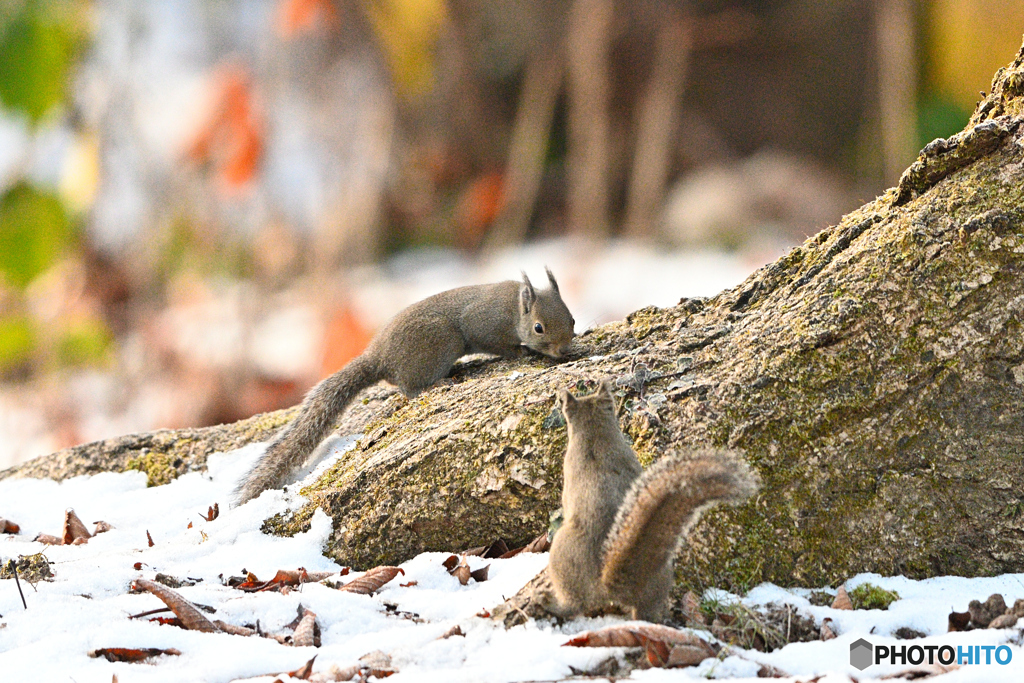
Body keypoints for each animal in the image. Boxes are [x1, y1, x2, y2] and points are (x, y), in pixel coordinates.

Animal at [235, 270, 581, 505]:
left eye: (573, 320)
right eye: (539, 328)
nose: (564, 350)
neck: (512, 308)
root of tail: (379, 359)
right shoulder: (483, 326)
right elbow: (497, 344)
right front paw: (521, 351)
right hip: (441, 342)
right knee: (410, 388)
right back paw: (441, 380)